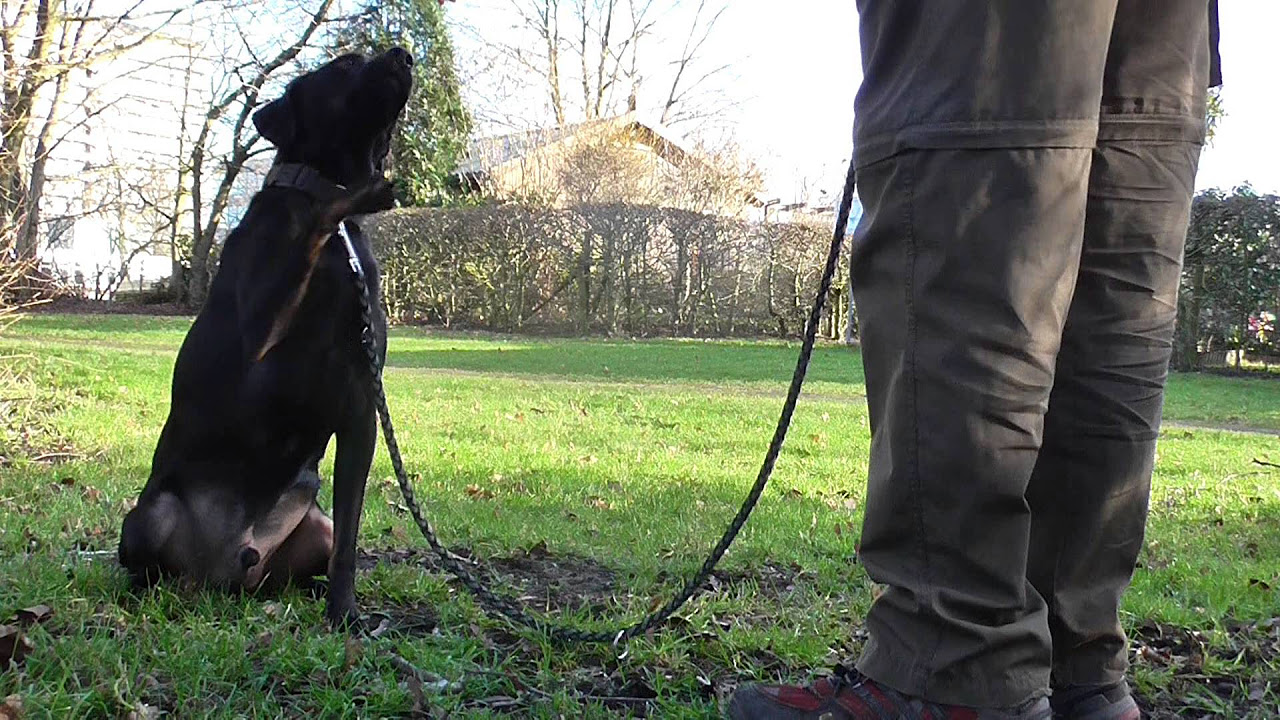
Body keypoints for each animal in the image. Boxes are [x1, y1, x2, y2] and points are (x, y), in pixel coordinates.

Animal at [118, 47, 412, 625]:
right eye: (345, 65)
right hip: (149, 516)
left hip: (313, 528)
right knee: (145, 568)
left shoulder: (361, 408)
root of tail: (219, 573)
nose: (404, 55)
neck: (338, 250)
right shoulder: (259, 332)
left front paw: (345, 613)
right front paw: (360, 194)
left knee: (312, 554)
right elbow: (321, 211)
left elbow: (350, 537)